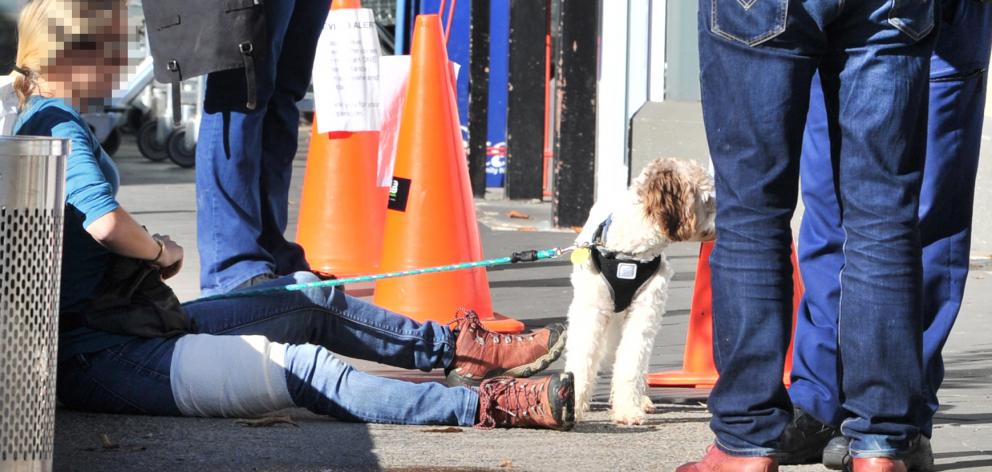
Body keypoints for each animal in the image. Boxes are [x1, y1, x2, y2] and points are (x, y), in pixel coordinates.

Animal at [564, 157, 712, 426]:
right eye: (707, 199)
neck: (631, 252)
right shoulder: (592, 312)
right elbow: (582, 357)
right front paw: (572, 404)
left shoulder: (644, 313)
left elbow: (632, 361)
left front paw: (628, 411)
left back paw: (640, 399)